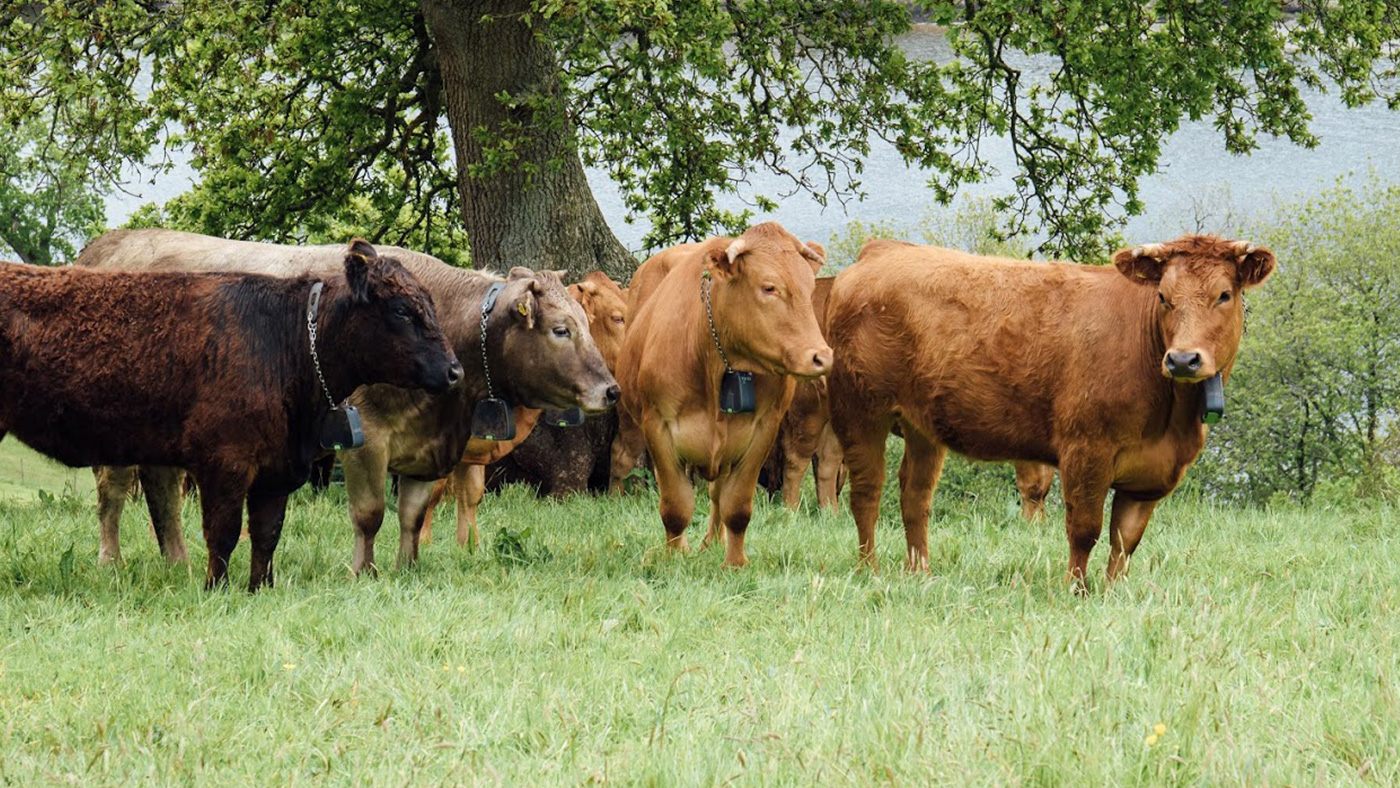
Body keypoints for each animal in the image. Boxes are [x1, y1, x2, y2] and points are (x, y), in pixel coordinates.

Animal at [0, 243, 459, 587]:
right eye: (401, 310)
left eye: (431, 304)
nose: (455, 370)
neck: (286, 341)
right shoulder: (224, 462)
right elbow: (222, 533)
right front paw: (215, 588)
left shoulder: (278, 469)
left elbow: (266, 534)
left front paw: (261, 588)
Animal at [78, 228, 618, 573]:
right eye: (561, 329)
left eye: (585, 323)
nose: (610, 390)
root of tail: (106, 245)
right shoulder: (366, 436)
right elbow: (370, 512)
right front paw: (364, 570)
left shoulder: (429, 450)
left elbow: (412, 514)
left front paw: (407, 568)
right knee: (113, 489)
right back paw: (110, 560)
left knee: (161, 486)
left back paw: (178, 561)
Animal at [610, 222, 828, 568]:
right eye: (769, 287)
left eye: (809, 289)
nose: (820, 356)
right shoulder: (658, 427)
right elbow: (675, 505)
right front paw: (674, 557)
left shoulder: (762, 430)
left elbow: (736, 507)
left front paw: (735, 563)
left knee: (716, 496)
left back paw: (713, 542)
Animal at [823, 233, 1276, 593]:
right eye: (1164, 297)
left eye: (1224, 295)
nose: (1182, 360)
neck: (1171, 418)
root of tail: (881, 250)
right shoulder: (1086, 451)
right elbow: (1085, 530)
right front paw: (1076, 590)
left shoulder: (1150, 475)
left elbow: (1125, 540)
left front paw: (1114, 592)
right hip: (858, 412)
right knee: (866, 493)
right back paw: (870, 570)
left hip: (922, 427)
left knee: (915, 496)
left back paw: (921, 573)